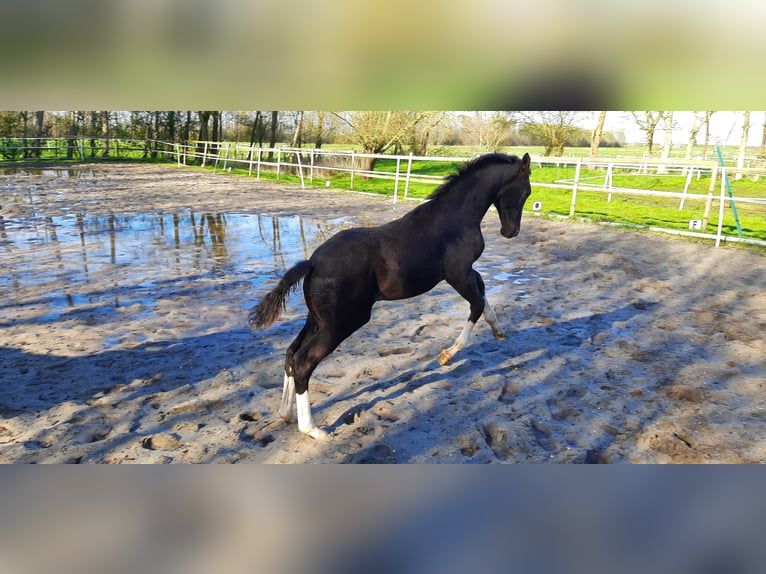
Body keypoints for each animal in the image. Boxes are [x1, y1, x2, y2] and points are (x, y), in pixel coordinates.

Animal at [250, 153, 536, 440]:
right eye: (527, 192)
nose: (510, 231)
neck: (454, 219)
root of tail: (312, 262)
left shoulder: (466, 272)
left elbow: (483, 289)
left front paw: (498, 330)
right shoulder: (457, 273)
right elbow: (476, 302)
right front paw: (447, 355)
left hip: (317, 319)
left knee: (291, 352)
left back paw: (285, 413)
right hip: (342, 323)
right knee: (303, 361)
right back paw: (312, 429)